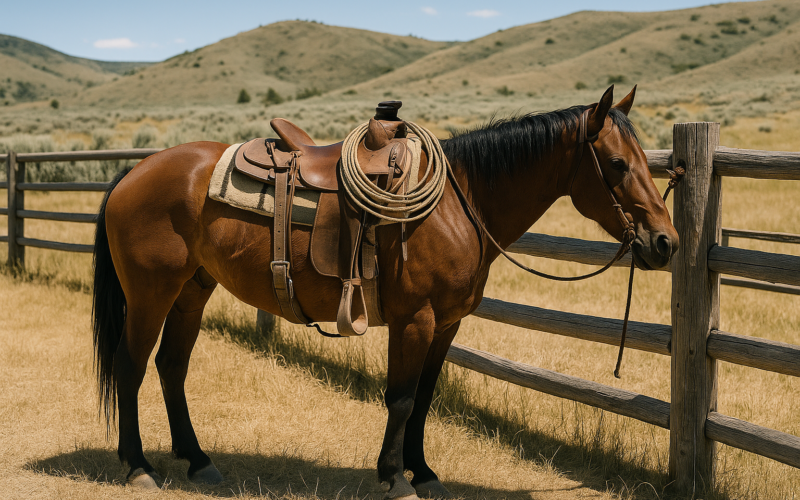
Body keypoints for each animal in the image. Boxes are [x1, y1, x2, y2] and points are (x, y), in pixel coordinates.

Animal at [92, 85, 678, 497]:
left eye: (647, 162)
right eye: (618, 164)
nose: (665, 242)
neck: (460, 202)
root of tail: (133, 172)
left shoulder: (447, 324)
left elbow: (424, 397)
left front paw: (424, 472)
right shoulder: (414, 319)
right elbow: (400, 397)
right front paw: (395, 478)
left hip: (192, 291)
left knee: (171, 366)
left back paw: (197, 460)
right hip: (149, 294)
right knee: (130, 365)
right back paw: (138, 466)